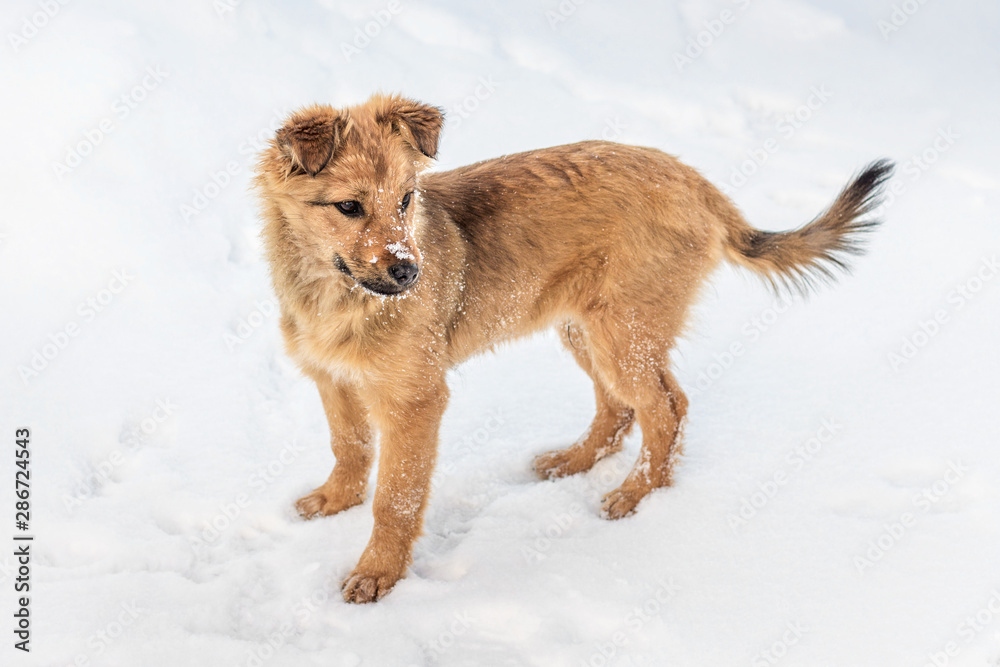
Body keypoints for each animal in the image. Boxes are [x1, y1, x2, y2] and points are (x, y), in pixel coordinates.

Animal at [254, 91, 896, 604]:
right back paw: (574, 462)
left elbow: (397, 498)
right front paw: (334, 501)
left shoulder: (415, 400)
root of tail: (695, 182)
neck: (337, 295)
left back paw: (636, 496)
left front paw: (378, 574)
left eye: (407, 199)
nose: (411, 273)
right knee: (620, 408)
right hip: (584, 328)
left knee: (667, 408)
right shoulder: (333, 379)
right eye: (349, 206)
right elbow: (350, 447)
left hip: (622, 332)